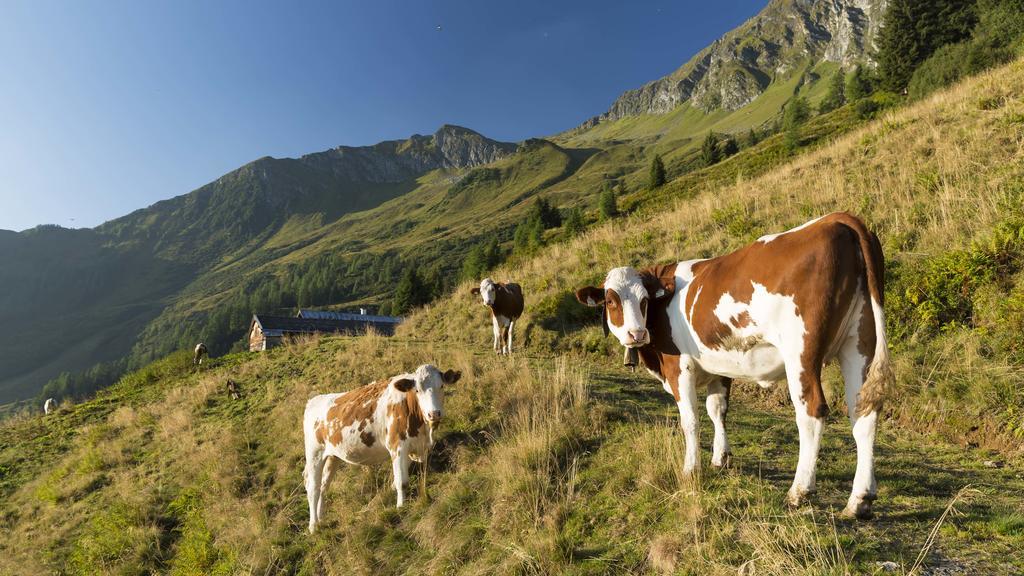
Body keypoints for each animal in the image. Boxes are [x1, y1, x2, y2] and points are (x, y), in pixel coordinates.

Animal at [299, 360, 460, 532]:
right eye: (417, 390)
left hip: (332, 456)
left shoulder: (416, 447)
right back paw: (313, 526)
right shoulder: (397, 446)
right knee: (313, 487)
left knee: (323, 486)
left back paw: (320, 519)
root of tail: (314, 400)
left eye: (441, 386)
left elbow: (401, 478)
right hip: (315, 453)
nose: (434, 413)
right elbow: (401, 481)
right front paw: (400, 506)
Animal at [573, 213, 892, 518]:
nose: (636, 334)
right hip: (859, 343)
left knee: (811, 412)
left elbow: (691, 420)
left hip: (801, 353)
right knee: (863, 413)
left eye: (643, 300)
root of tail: (838, 219)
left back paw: (799, 491)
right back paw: (860, 499)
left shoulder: (679, 368)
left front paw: (691, 469)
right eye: (611, 301)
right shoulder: (719, 367)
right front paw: (720, 458)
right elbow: (718, 410)